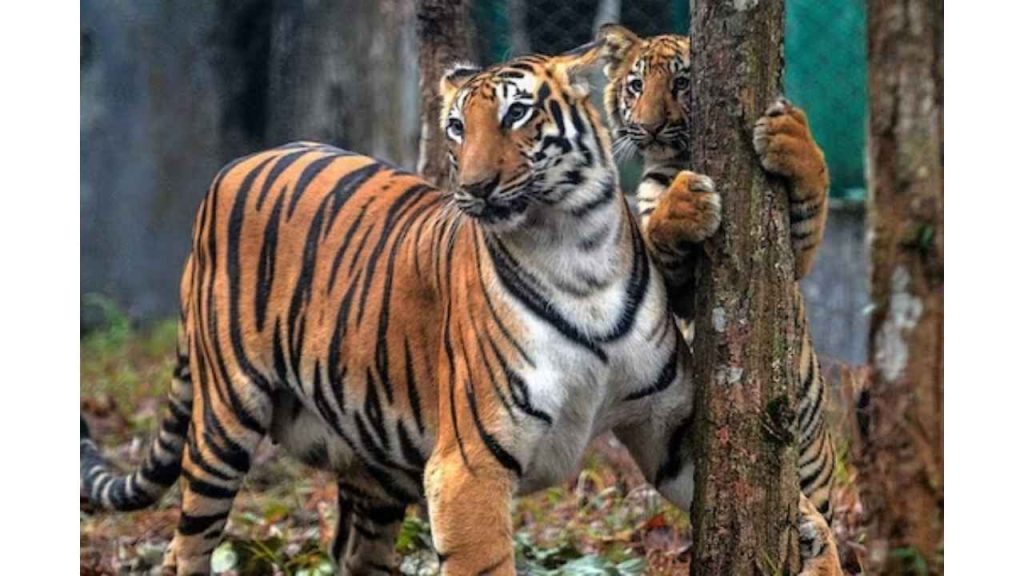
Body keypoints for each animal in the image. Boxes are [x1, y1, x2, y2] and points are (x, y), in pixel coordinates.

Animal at [81, 44, 722, 576]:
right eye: (457, 127)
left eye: (517, 114)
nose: (475, 187)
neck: (578, 250)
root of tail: (233, 167)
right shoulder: (469, 469)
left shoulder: (667, 427)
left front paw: (690, 201)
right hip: (225, 418)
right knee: (186, 546)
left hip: (375, 453)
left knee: (353, 550)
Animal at [595, 23, 841, 573]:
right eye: (636, 86)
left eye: (683, 82)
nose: (650, 127)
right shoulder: (673, 287)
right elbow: (659, 230)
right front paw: (685, 203)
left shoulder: (792, 255)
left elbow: (813, 187)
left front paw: (789, 138)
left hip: (817, 467)